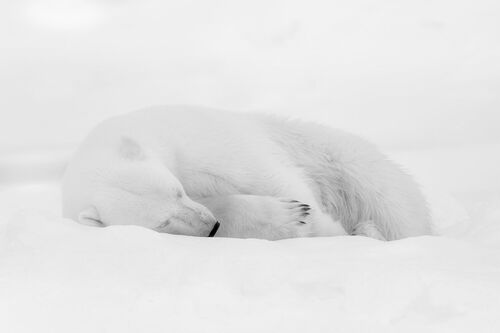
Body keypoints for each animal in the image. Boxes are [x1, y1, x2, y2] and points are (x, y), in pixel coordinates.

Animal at [61, 105, 430, 240]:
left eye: (177, 189)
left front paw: (322, 227)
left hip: (340, 158)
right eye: (161, 222)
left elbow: (268, 176)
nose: (209, 226)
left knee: (393, 203)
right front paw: (288, 218)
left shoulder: (198, 145)